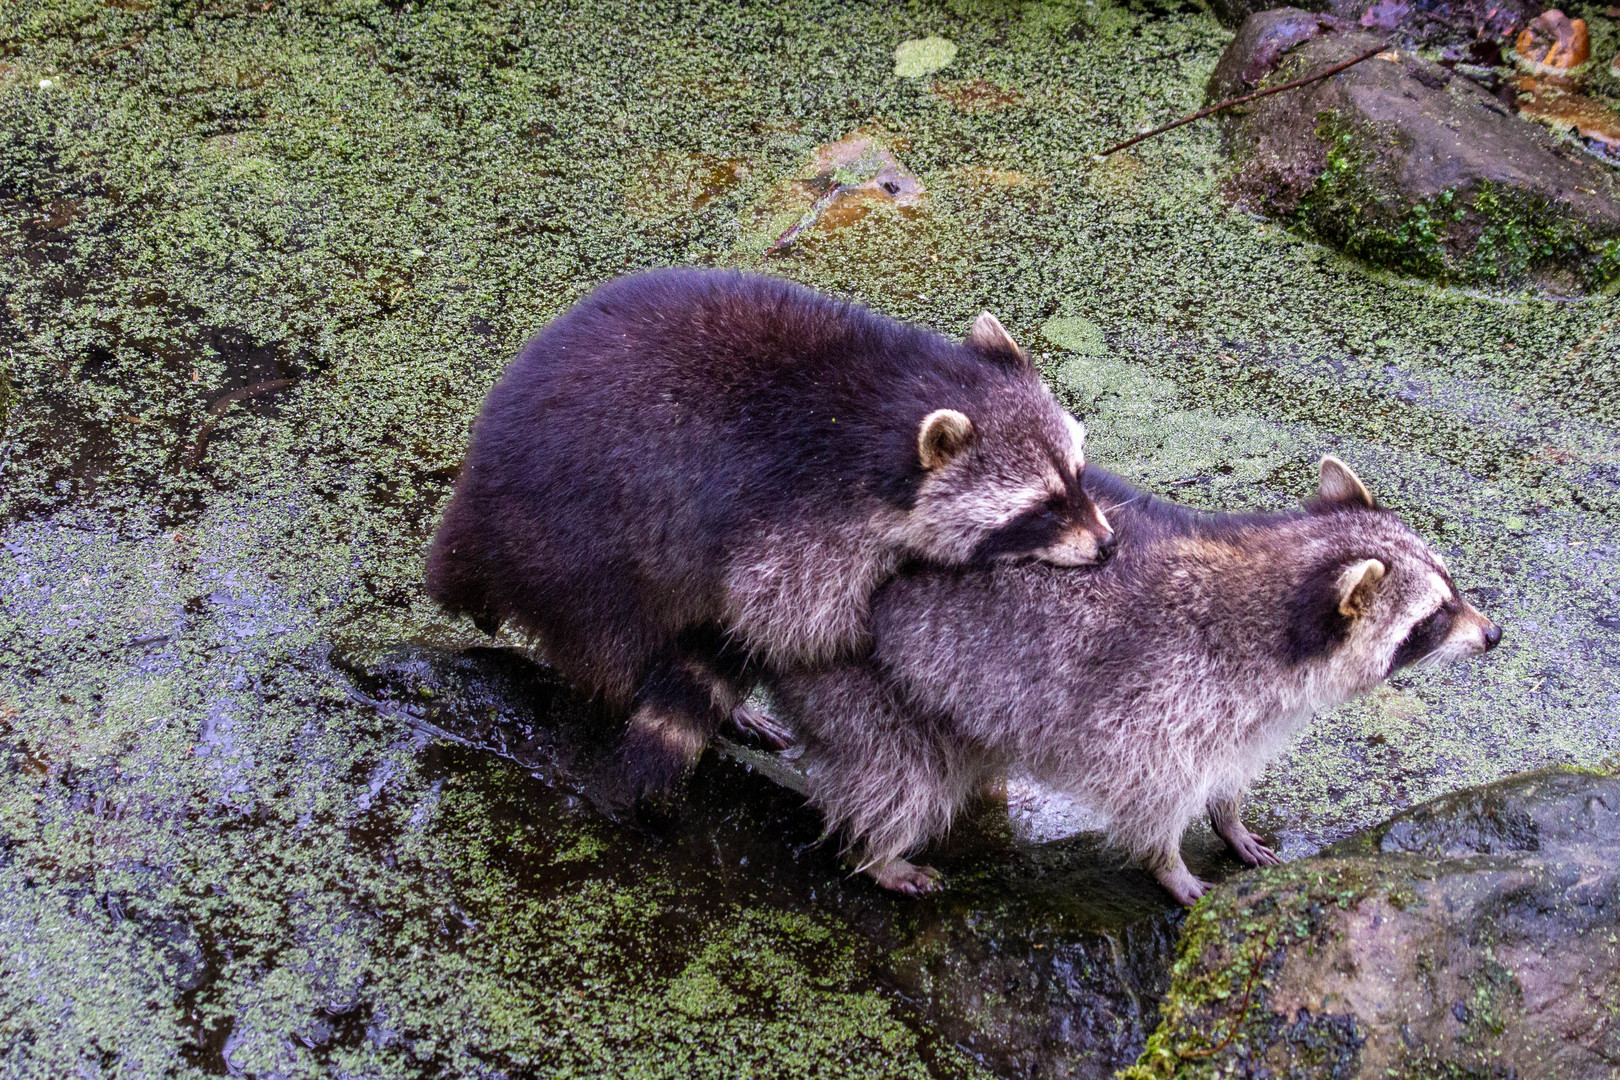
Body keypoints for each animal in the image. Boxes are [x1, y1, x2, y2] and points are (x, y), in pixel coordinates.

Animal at [430, 268, 1114, 793]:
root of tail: (471, 512)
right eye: (1043, 508)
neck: (893, 399)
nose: (1108, 546)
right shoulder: (798, 514)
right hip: (579, 545)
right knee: (614, 642)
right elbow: (792, 620)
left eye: (1078, 475)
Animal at [771, 456, 1503, 906]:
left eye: (1452, 585)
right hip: (862, 680)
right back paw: (880, 854)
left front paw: (1229, 819)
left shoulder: (1247, 713)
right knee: (900, 774)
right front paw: (1169, 862)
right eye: (1435, 617)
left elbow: (1230, 770)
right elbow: (1150, 793)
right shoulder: (1163, 697)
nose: (1494, 634)